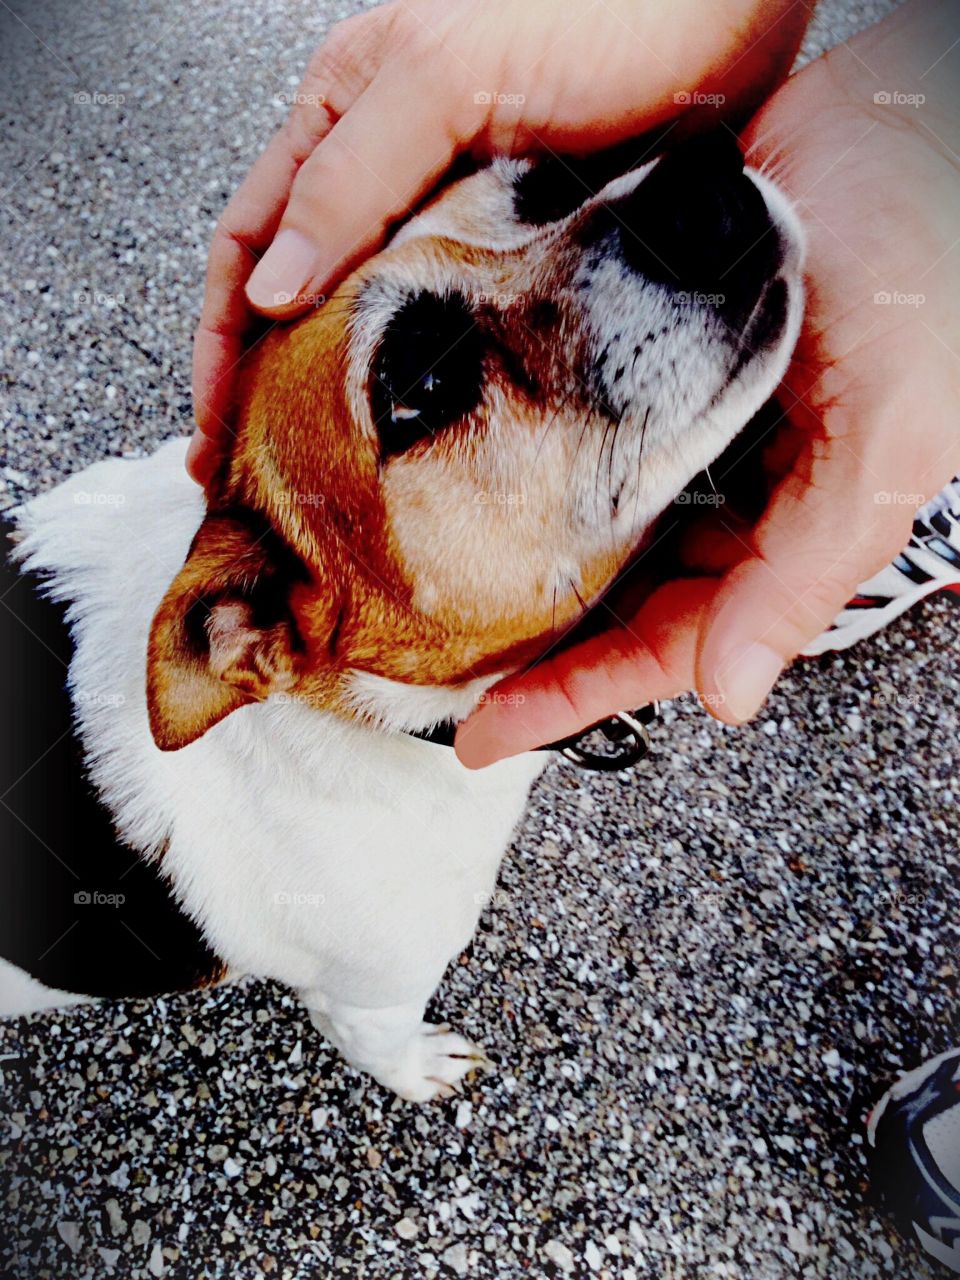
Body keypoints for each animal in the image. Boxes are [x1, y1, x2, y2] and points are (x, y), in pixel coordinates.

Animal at [1, 135, 803, 1105]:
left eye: (556, 177)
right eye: (418, 381)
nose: (704, 187)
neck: (372, 714)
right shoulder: (370, 995)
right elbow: (383, 1046)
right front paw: (425, 1070)